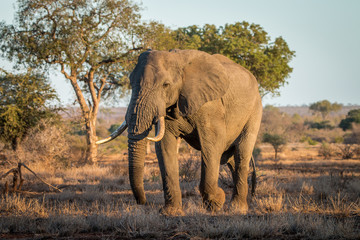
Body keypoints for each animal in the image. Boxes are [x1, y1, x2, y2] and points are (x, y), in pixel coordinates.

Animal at [97, 48, 262, 214]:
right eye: (131, 83)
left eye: (165, 85)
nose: (143, 202)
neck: (178, 59)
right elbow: (164, 145)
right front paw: (170, 213)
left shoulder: (210, 105)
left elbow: (212, 144)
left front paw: (216, 203)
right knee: (230, 159)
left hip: (255, 110)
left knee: (242, 153)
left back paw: (237, 209)